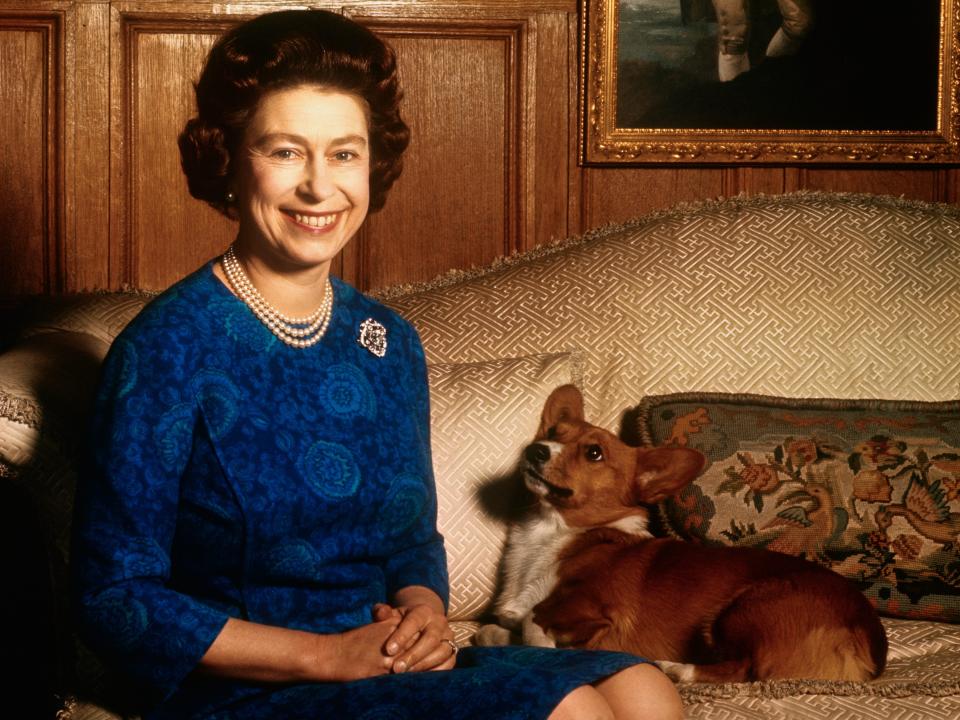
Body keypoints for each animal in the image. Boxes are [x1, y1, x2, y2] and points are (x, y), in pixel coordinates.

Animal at [476, 386, 888, 684]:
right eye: (552, 433)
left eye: (593, 453)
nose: (535, 449)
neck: (552, 533)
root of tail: (871, 642)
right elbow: (497, 628)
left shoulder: (596, 611)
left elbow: (534, 620)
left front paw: (550, 645)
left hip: (741, 609)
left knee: (745, 669)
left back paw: (675, 668)